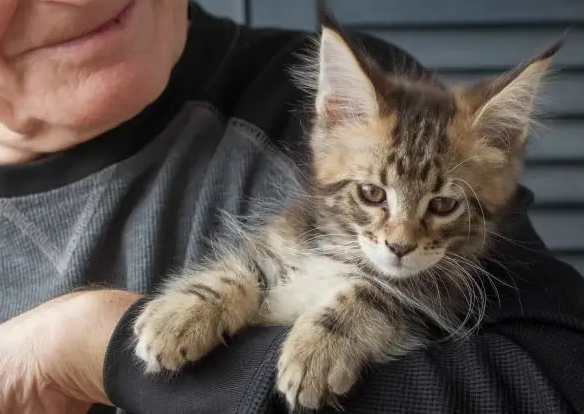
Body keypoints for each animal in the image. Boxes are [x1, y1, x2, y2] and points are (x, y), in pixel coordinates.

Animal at [132, 10, 560, 410]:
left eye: (443, 205)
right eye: (372, 193)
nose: (399, 247)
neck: (345, 252)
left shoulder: (438, 297)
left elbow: (374, 292)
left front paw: (318, 350)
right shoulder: (288, 234)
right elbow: (244, 267)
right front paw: (182, 313)